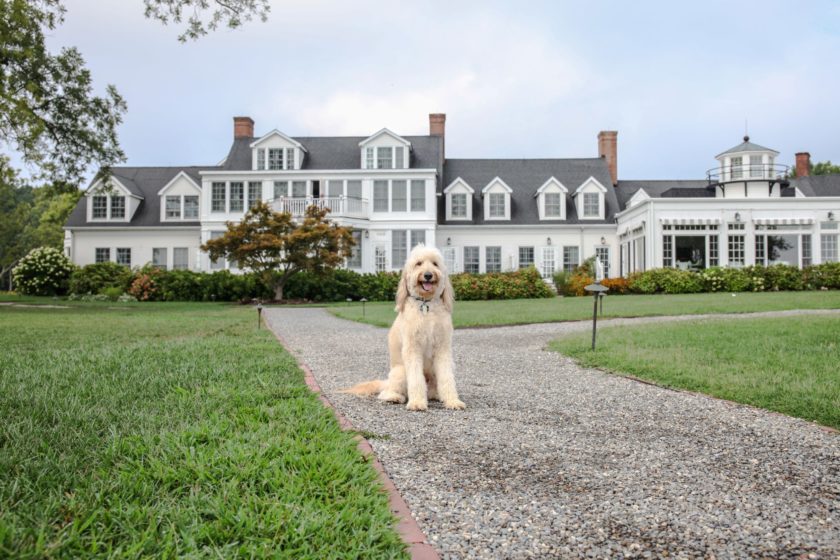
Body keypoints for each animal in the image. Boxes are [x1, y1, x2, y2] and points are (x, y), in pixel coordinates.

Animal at [344, 245, 470, 412]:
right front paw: (417, 403)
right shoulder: (412, 348)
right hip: (400, 372)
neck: (425, 305)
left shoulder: (443, 348)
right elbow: (416, 378)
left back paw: (436, 395)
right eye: (418, 263)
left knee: (432, 389)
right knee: (386, 393)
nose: (428, 275)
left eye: (435, 264)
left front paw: (452, 401)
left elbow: (446, 377)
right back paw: (395, 397)